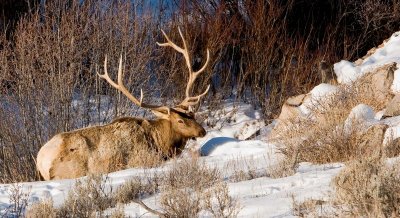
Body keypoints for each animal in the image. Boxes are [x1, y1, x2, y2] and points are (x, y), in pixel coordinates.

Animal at [36, 28, 211, 180]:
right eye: (180, 120)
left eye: (192, 115)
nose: (202, 131)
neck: (160, 144)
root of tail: (40, 160)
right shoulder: (142, 159)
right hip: (69, 171)